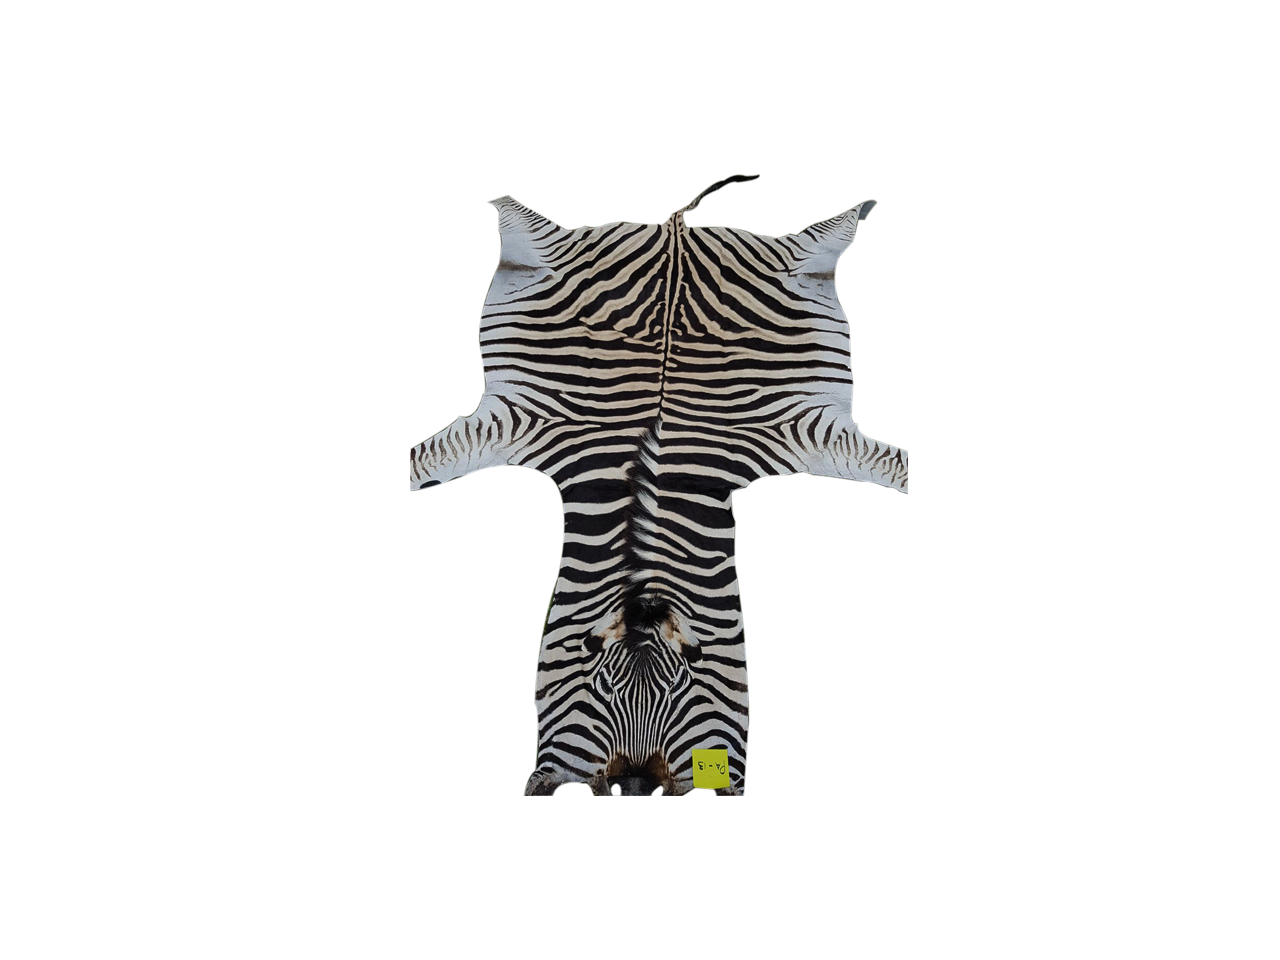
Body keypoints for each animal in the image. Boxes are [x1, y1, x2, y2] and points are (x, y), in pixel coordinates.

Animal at [409, 176, 908, 796]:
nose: (636, 789)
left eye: (682, 688)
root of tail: (673, 229)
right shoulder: (521, 422)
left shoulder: (801, 430)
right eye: (600, 689)